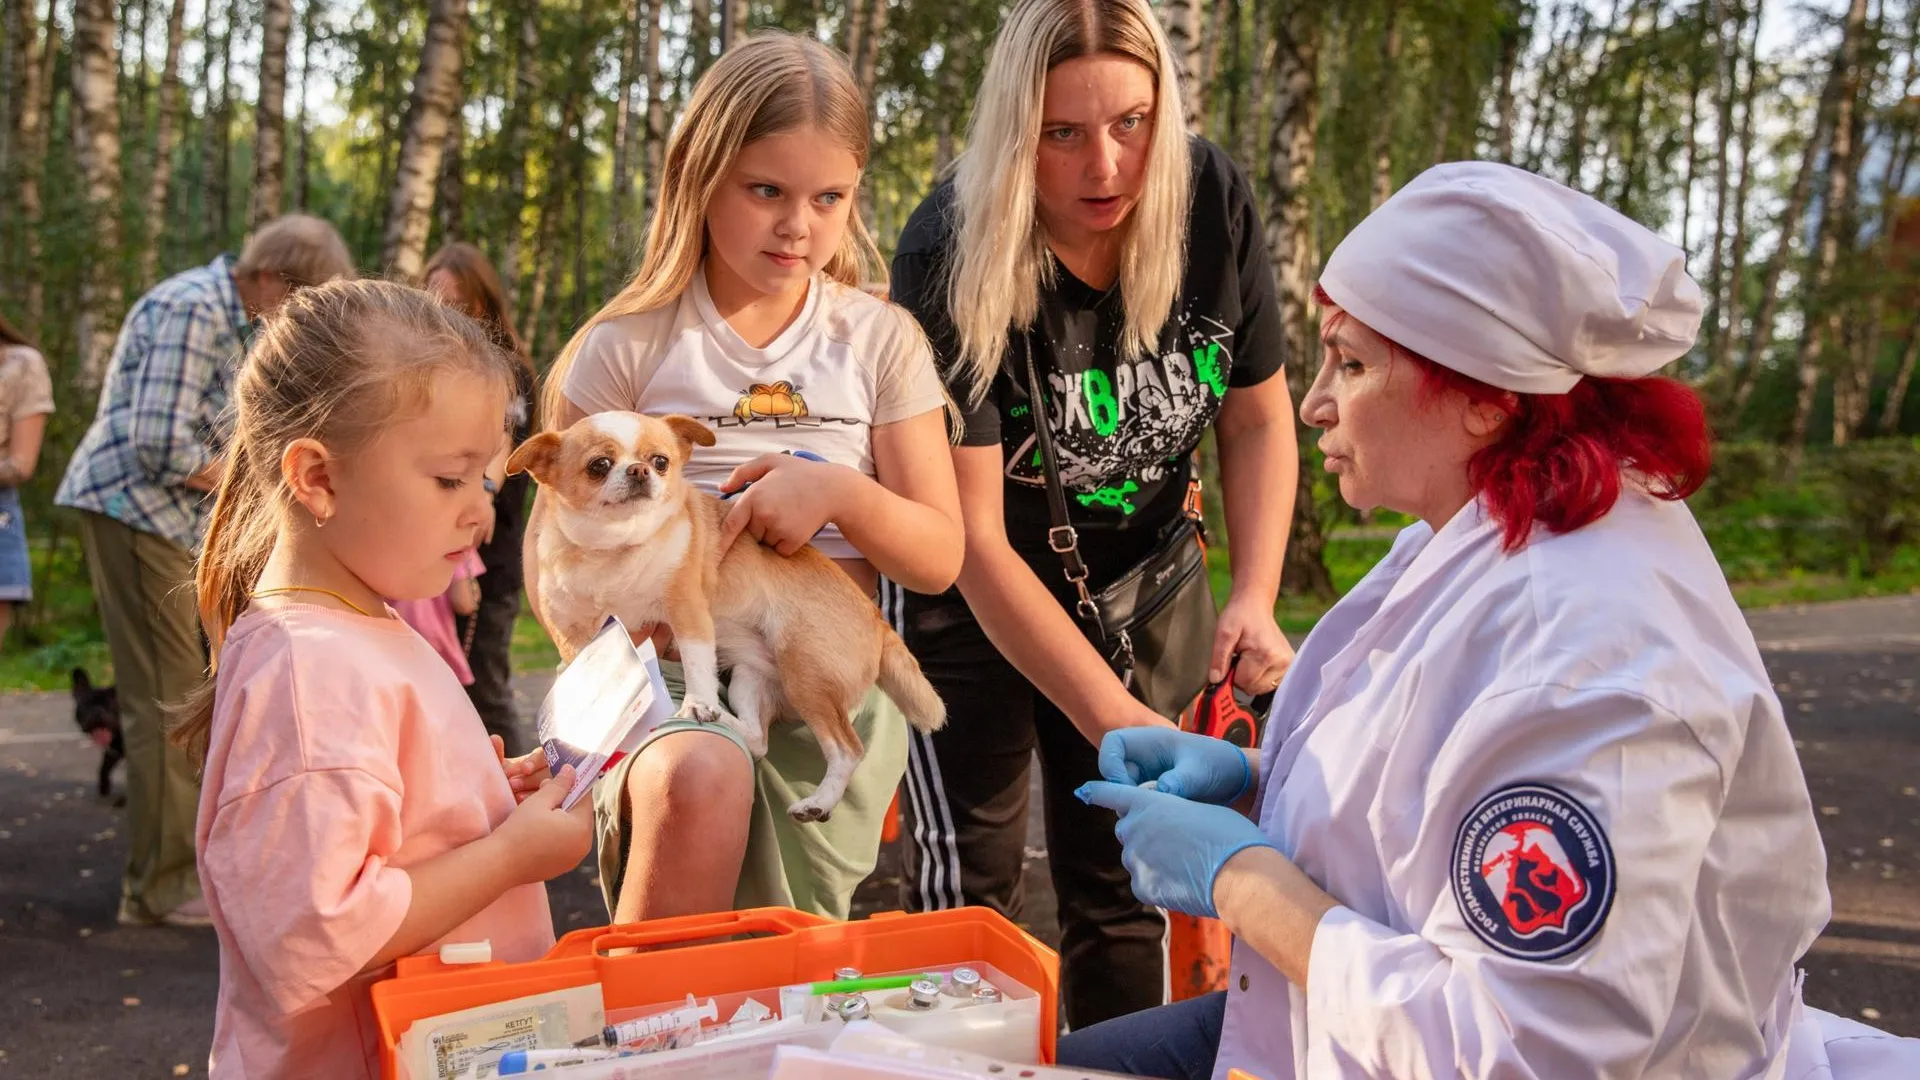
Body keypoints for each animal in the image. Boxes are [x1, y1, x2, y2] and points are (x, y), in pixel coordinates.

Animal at [71, 664, 124, 799]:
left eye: (110, 705)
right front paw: (104, 787)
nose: (97, 711)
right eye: (85, 705)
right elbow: (104, 767)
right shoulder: (114, 750)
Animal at [510, 409, 944, 814]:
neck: (614, 548)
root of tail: (878, 620)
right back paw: (725, 720)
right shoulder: (575, 635)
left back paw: (818, 801)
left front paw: (697, 703)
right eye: (598, 465)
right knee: (757, 739)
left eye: (661, 461)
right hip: (748, 679)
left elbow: (696, 664)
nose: (639, 470)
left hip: (806, 673)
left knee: (846, 749)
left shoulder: (687, 611)